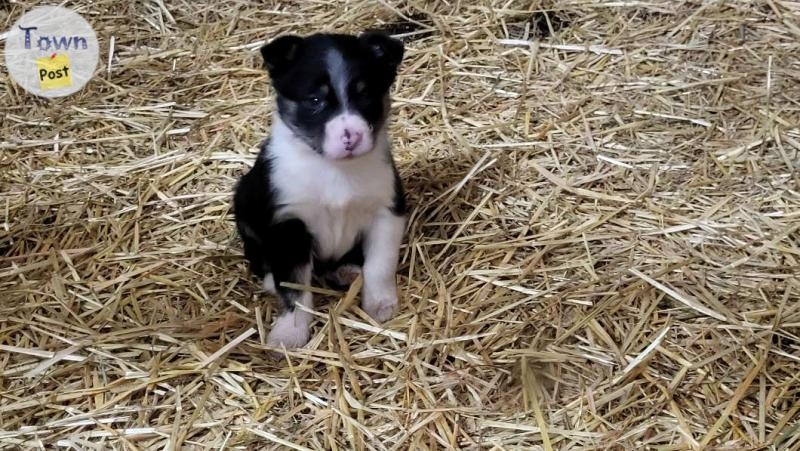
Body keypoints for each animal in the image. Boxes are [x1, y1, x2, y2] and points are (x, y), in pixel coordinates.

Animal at [231, 32, 406, 350]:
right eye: (314, 100)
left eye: (365, 95)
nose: (351, 138)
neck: (334, 169)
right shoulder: (288, 226)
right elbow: (294, 288)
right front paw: (289, 334)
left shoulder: (387, 211)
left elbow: (380, 265)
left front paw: (380, 305)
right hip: (244, 207)